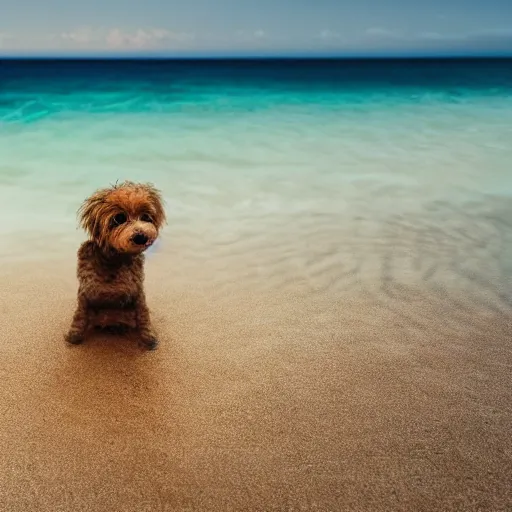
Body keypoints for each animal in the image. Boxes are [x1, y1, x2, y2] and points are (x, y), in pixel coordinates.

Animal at [65, 179, 166, 348]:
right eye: (119, 218)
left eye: (146, 217)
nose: (141, 237)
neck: (115, 260)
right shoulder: (85, 293)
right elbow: (80, 315)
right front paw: (74, 336)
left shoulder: (138, 291)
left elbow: (143, 314)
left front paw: (148, 337)